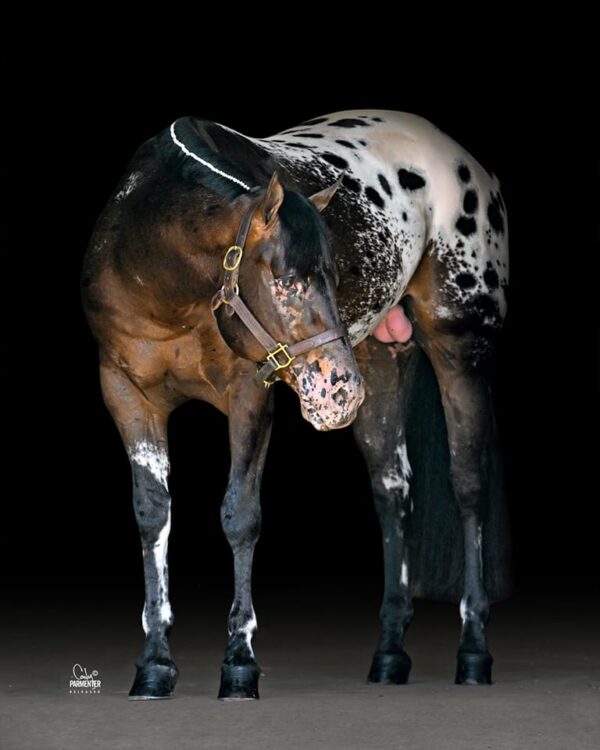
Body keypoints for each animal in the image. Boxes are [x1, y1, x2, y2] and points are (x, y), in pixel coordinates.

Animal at [82, 109, 511, 700]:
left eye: (336, 274)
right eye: (286, 282)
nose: (340, 389)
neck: (159, 279)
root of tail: (467, 162)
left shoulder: (248, 392)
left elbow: (240, 515)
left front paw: (239, 664)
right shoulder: (125, 392)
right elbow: (152, 514)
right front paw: (153, 665)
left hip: (462, 345)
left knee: (469, 485)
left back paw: (473, 652)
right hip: (381, 357)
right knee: (392, 491)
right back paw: (389, 655)